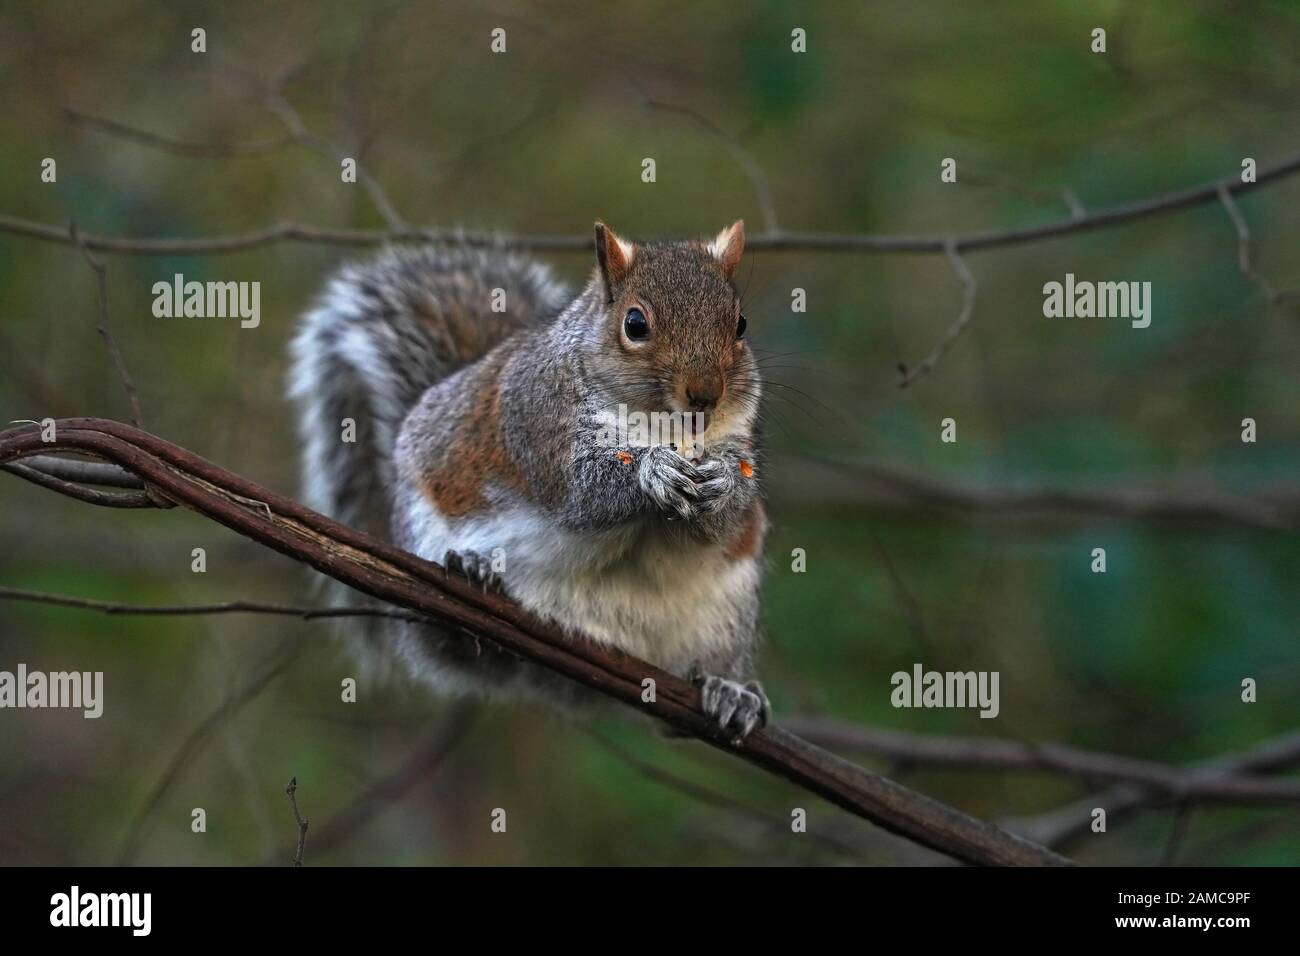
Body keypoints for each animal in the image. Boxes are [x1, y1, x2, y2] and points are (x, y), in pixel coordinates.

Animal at [289, 221, 764, 738]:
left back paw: (728, 691)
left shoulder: (738, 439)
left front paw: (723, 484)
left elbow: (726, 519)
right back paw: (471, 571)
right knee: (454, 646)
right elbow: (582, 491)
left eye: (741, 323)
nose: (705, 395)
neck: (664, 427)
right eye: (635, 324)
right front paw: (652, 471)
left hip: (726, 615)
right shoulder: (539, 420)